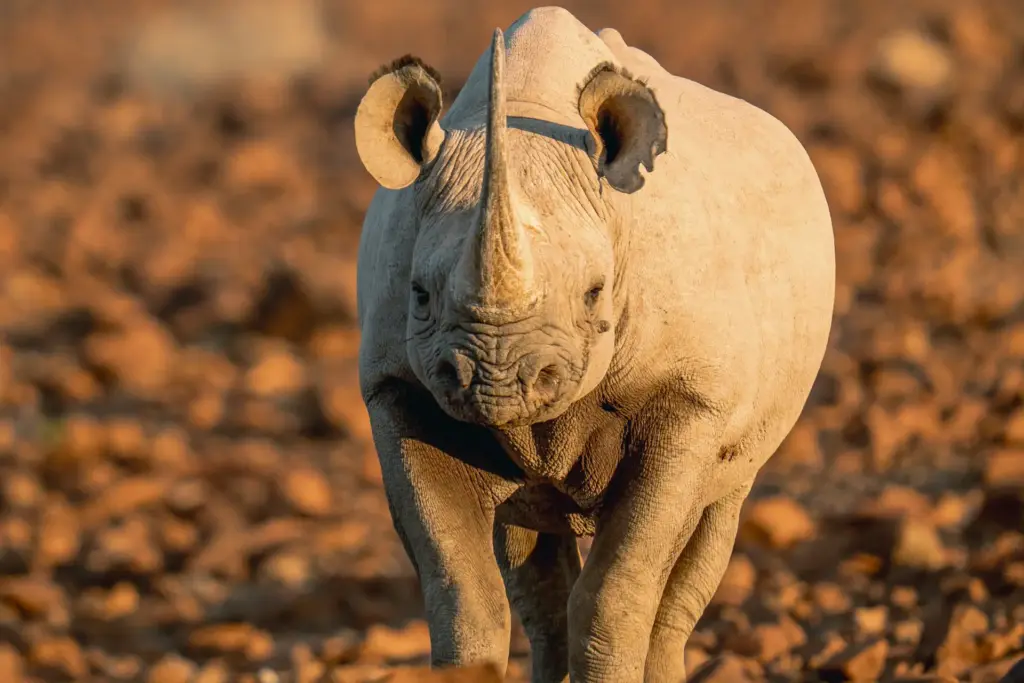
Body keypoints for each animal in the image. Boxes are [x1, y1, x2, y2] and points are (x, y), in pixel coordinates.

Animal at [353, 6, 835, 682]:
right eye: (419, 295)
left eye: (595, 293)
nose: (495, 381)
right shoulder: (397, 388)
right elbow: (464, 592)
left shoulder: (689, 396)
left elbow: (617, 591)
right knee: (531, 553)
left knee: (711, 524)